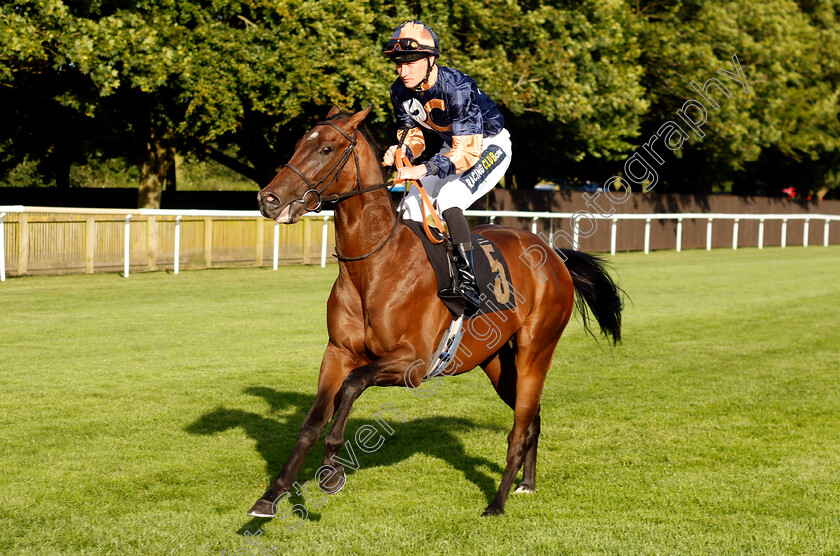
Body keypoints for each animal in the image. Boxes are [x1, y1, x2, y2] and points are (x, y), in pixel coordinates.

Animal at [253, 105, 620, 516]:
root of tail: (552, 254)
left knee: (520, 426)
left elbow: (352, 386)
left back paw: (498, 502)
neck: (374, 266)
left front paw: (331, 468)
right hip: (497, 362)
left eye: (326, 149)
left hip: (534, 353)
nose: (268, 199)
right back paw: (527, 483)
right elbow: (313, 420)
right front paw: (271, 495)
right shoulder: (338, 352)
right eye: (300, 144)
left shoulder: (412, 363)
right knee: (532, 418)